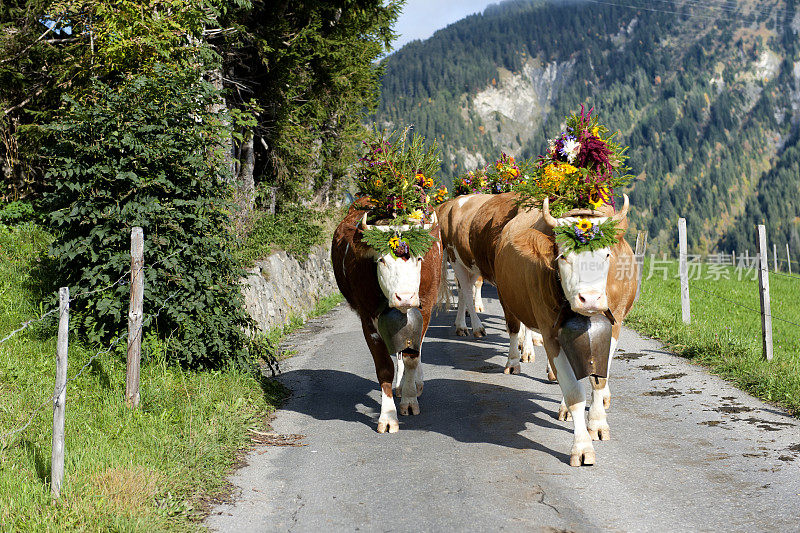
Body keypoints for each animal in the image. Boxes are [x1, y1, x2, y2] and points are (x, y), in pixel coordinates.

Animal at [330, 197, 444, 434]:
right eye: (382, 260)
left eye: (420, 258)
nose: (405, 297)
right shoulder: (367, 317)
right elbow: (384, 368)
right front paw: (388, 416)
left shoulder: (425, 307)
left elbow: (412, 357)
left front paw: (409, 400)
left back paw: (415, 383)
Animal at [494, 193, 636, 464]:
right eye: (563, 257)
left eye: (606, 255)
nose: (590, 298)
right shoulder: (550, 333)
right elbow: (573, 392)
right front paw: (581, 446)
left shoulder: (614, 326)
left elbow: (598, 380)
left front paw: (597, 423)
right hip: (508, 301)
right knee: (514, 329)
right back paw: (514, 362)